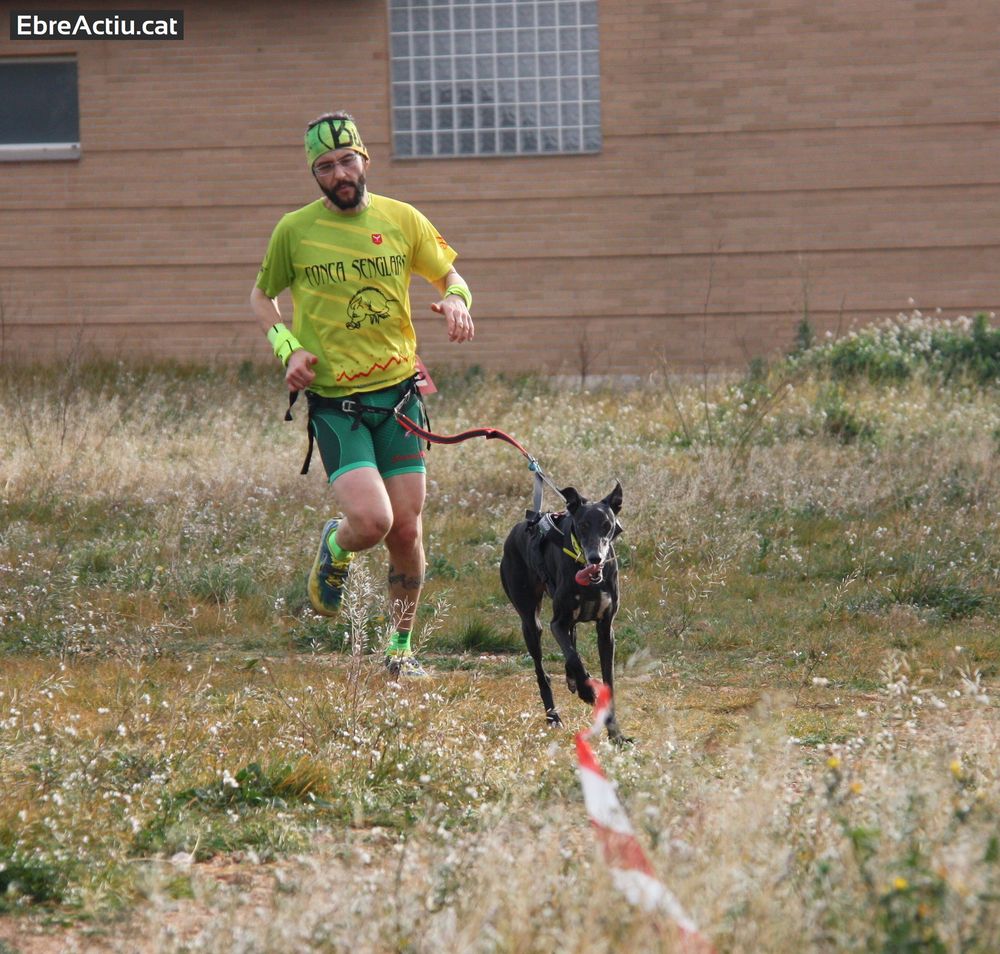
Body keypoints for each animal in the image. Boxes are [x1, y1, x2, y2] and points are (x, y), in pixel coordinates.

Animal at [500, 481, 628, 743]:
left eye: (607, 525)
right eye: (582, 525)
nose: (594, 558)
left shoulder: (606, 629)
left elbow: (605, 678)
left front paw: (616, 735)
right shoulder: (556, 623)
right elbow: (574, 657)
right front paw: (587, 691)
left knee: (572, 640)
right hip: (531, 623)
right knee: (543, 671)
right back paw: (553, 716)